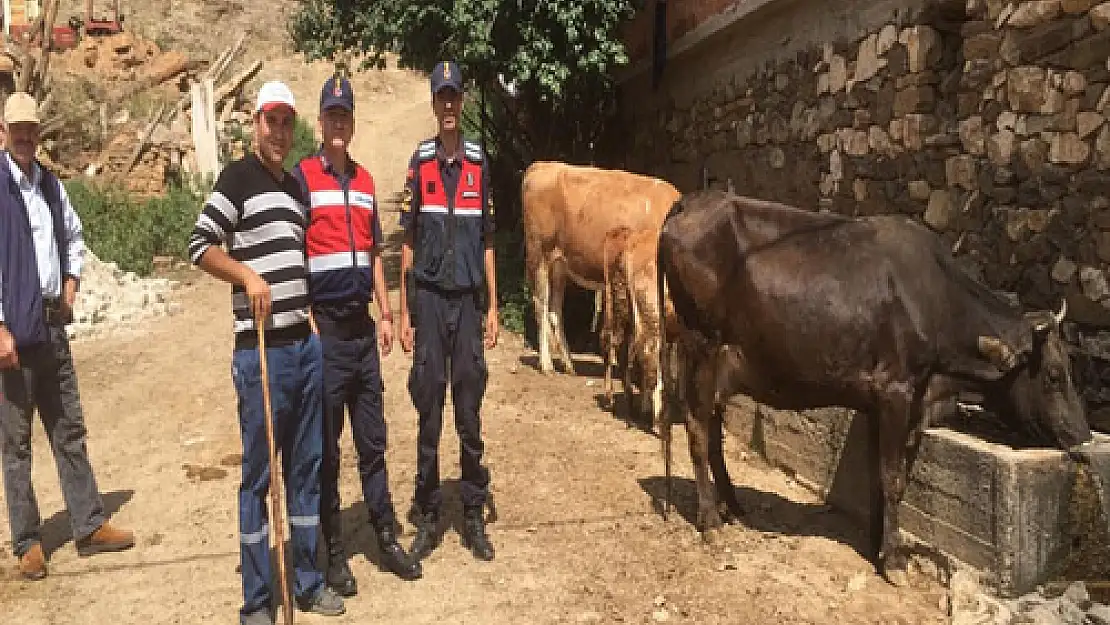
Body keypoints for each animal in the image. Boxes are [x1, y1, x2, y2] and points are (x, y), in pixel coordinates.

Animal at [523, 163, 679, 377]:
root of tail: (542, 165)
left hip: (559, 265)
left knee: (555, 309)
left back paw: (568, 364)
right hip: (539, 254)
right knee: (541, 304)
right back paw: (547, 365)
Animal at [652, 189, 1096, 586]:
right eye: (1053, 375)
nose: (1083, 434)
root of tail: (693, 201)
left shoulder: (881, 403)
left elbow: (876, 479)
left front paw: (876, 545)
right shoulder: (896, 391)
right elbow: (894, 478)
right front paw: (895, 560)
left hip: (719, 364)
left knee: (711, 428)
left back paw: (733, 506)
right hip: (701, 345)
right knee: (696, 427)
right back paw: (710, 519)